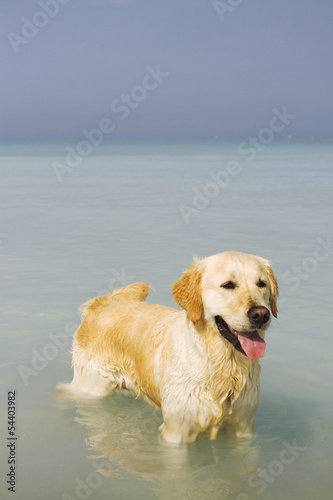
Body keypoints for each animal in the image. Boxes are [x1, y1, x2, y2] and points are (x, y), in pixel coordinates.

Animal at [65, 252, 278, 444]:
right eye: (228, 285)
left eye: (262, 284)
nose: (261, 314)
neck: (223, 364)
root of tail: (101, 304)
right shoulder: (177, 431)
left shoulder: (244, 427)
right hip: (91, 386)